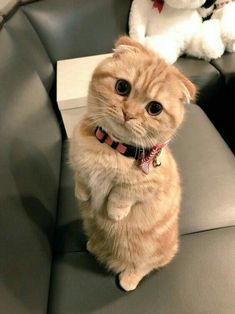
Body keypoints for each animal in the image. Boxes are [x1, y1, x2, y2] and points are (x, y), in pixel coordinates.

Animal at [69, 36, 196, 292]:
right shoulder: (78, 158)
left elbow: (123, 193)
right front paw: (83, 194)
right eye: (122, 87)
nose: (128, 114)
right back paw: (94, 245)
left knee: (145, 265)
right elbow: (82, 177)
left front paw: (115, 212)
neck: (111, 148)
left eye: (155, 108)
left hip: (148, 252)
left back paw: (129, 278)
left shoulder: (145, 186)